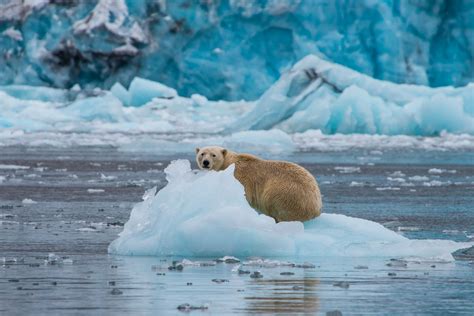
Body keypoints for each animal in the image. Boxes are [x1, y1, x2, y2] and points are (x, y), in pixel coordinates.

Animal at [193, 146, 322, 222]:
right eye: (202, 154)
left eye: (213, 155)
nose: (206, 162)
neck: (229, 162)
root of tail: (316, 207)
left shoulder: (240, 176)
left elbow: (245, 194)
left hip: (286, 193)